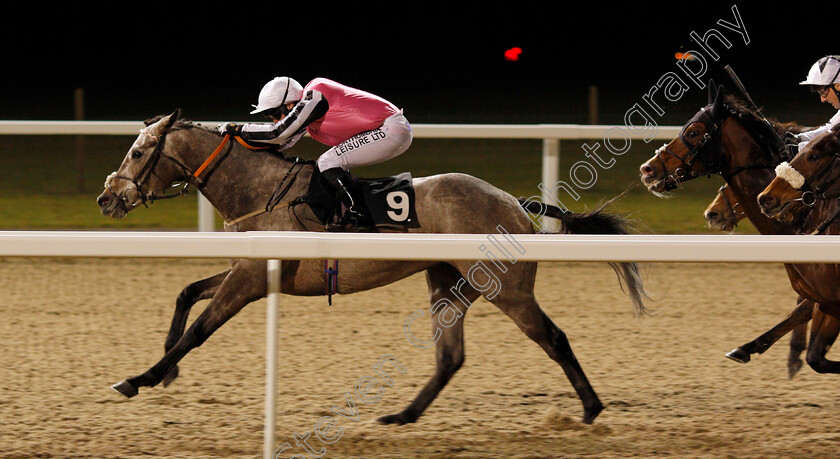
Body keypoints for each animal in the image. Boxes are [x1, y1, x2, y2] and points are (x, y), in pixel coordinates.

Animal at [97, 109, 648, 426]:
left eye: (139, 152)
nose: (107, 198)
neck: (258, 190)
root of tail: (513, 202)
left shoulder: (251, 279)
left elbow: (200, 330)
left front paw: (141, 378)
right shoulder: (248, 269)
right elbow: (187, 293)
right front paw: (166, 370)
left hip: (507, 290)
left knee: (553, 337)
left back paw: (591, 408)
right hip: (448, 282)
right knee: (451, 357)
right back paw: (401, 416)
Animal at [640, 82, 836, 376]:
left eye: (693, 131)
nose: (647, 169)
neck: (802, 217)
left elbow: (804, 317)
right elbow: (801, 314)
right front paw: (752, 349)